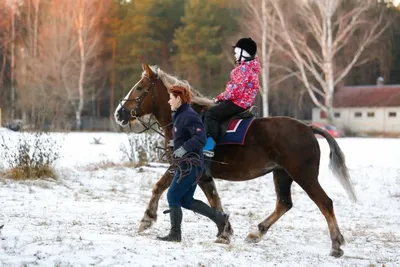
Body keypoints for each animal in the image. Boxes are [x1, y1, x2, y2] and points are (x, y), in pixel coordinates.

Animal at [115, 63, 356, 258]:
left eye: (139, 88)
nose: (119, 113)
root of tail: (309, 128)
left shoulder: (180, 166)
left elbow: (159, 187)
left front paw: (147, 219)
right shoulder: (202, 176)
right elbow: (214, 201)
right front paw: (225, 231)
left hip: (303, 175)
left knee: (325, 203)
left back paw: (336, 245)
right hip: (282, 174)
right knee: (284, 203)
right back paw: (257, 233)